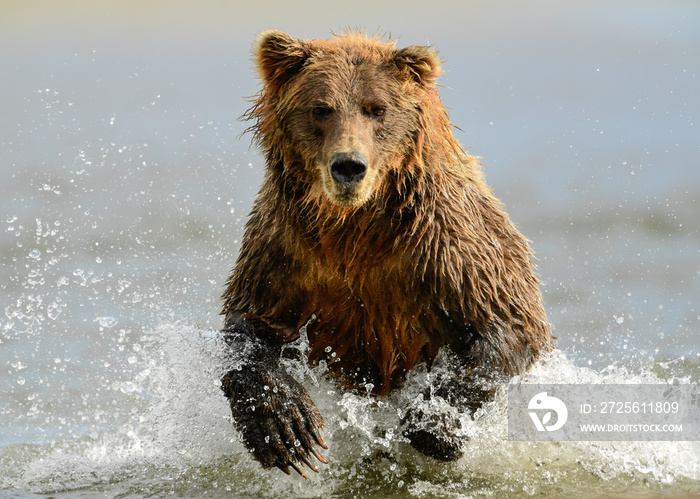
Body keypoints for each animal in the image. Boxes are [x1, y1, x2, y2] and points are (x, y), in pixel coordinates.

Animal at [219, 29, 552, 478]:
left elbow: (507, 325)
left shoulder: (448, 249)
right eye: (320, 108)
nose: (348, 166)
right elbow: (250, 326)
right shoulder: (287, 248)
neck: (356, 227)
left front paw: (433, 424)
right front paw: (286, 430)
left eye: (377, 109)